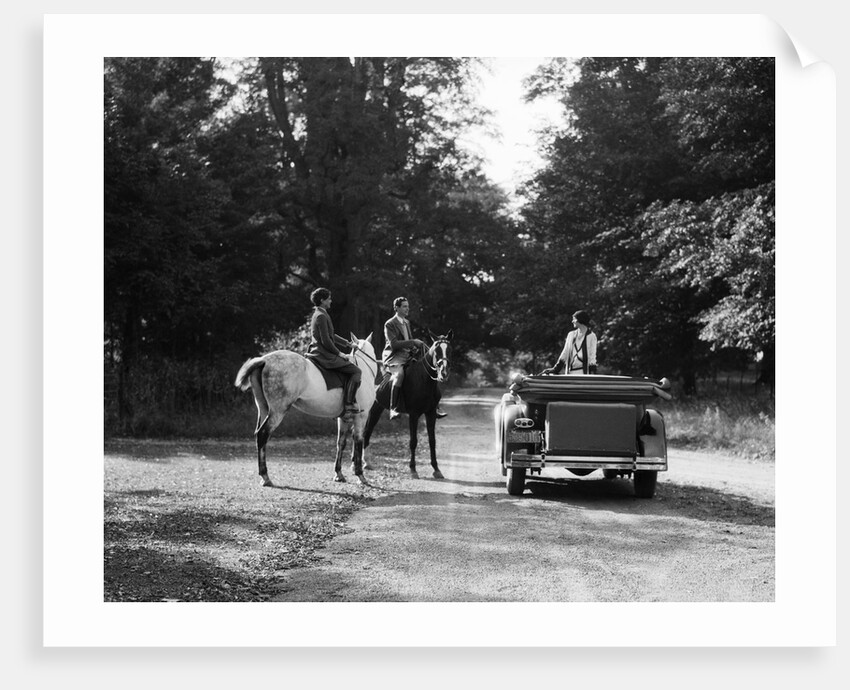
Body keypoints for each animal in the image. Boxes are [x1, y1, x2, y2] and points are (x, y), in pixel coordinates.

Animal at [234, 334, 379, 487]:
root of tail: (264, 360)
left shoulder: (343, 418)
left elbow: (341, 443)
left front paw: (338, 474)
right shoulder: (361, 417)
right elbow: (358, 442)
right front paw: (360, 475)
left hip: (263, 408)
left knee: (258, 435)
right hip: (277, 412)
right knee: (262, 435)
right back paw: (265, 476)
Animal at [363, 330, 453, 479]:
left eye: (449, 349)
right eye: (437, 351)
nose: (444, 373)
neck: (423, 379)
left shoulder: (430, 414)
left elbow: (432, 441)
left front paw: (436, 469)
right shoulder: (414, 415)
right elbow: (413, 441)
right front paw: (413, 469)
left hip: (377, 408)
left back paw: (365, 463)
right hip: (372, 409)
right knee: (365, 433)